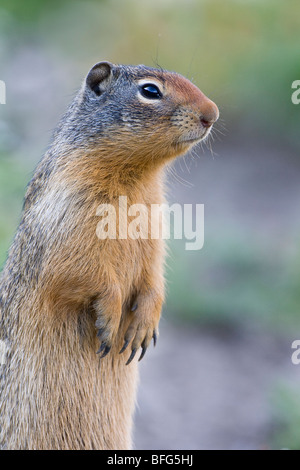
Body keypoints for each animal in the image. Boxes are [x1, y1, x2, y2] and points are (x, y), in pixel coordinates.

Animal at [0, 60, 217, 450]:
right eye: (150, 91)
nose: (213, 113)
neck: (135, 177)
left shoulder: (154, 234)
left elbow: (154, 276)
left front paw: (144, 325)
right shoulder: (67, 224)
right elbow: (83, 272)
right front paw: (111, 319)